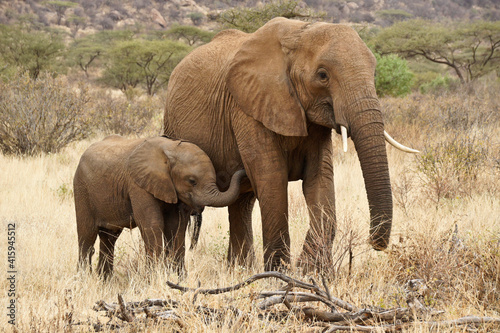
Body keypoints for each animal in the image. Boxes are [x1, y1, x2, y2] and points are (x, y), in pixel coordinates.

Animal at [74, 134, 246, 276]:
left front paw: (179, 277)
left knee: (109, 238)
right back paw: (84, 278)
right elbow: (152, 224)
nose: (244, 171)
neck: (170, 148)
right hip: (81, 189)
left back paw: (105, 281)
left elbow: (175, 225)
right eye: (192, 181)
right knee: (87, 236)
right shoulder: (138, 184)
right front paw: (155, 277)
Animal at [165, 17, 418, 270]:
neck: (300, 33)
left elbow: (319, 178)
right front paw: (279, 272)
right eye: (323, 75)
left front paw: (312, 271)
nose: (375, 243)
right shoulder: (247, 108)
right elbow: (272, 177)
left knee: (241, 203)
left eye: (374, 73)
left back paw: (239, 269)